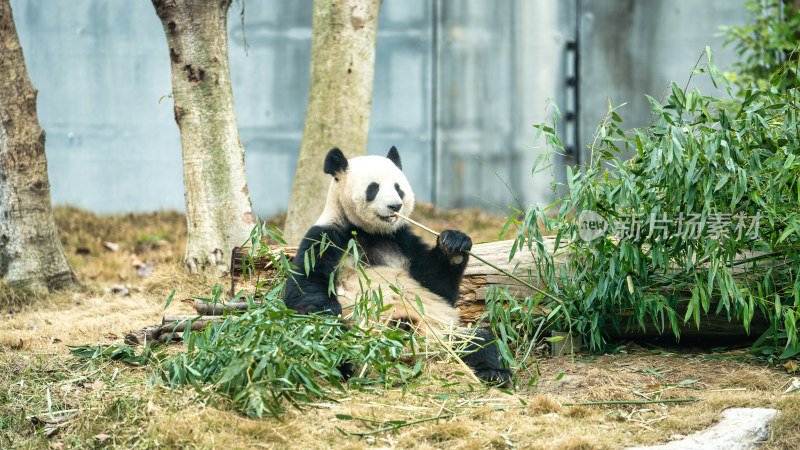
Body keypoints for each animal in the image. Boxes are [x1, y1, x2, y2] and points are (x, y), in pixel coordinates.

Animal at [286, 145, 512, 384]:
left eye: (398, 188)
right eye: (373, 188)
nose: (395, 205)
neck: (368, 232)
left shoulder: (402, 241)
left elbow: (436, 286)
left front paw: (454, 245)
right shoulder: (326, 238)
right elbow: (306, 288)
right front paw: (328, 311)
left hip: (444, 335)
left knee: (478, 341)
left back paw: (493, 373)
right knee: (336, 342)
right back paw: (350, 362)